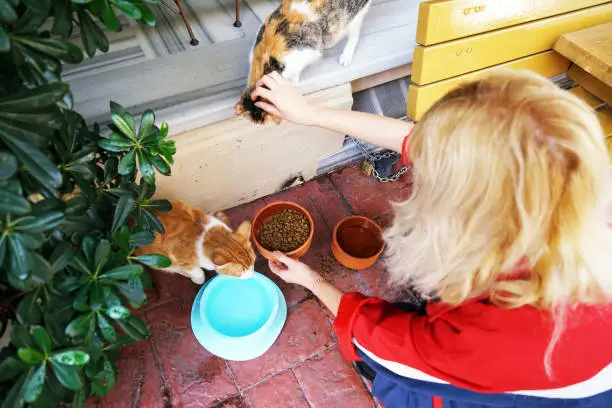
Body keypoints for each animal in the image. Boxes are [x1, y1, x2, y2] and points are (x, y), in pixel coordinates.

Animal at [233, 0, 370, 124]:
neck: (267, 62)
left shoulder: (304, 56)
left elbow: (296, 73)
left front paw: (294, 83)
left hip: (354, 18)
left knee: (354, 36)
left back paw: (345, 57)